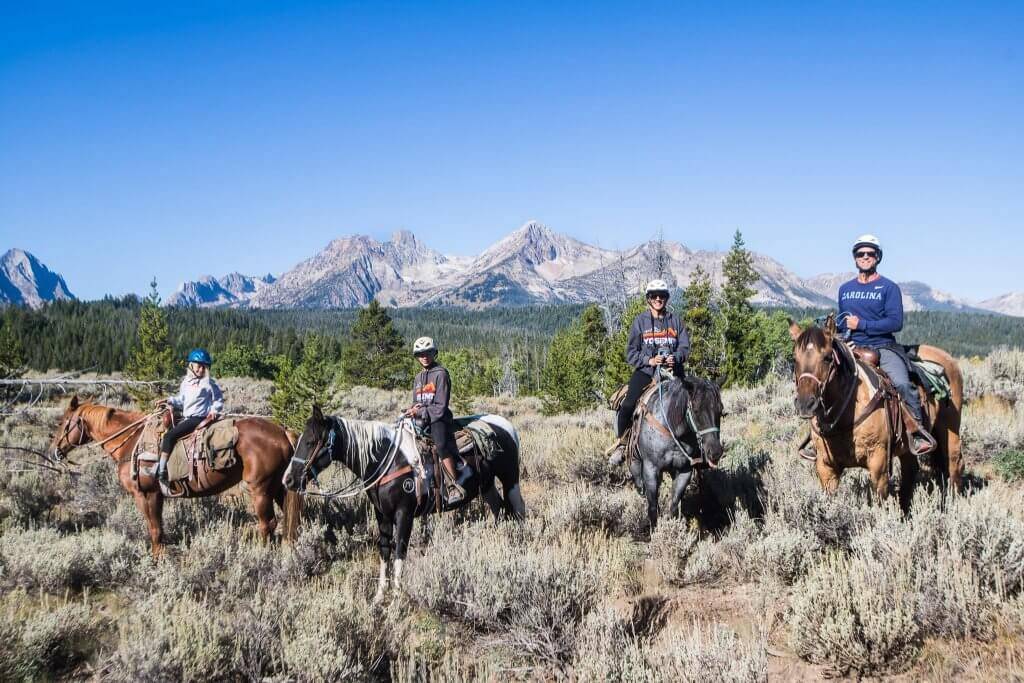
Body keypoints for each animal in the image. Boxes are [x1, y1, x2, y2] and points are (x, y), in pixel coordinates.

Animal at [49, 395, 299, 557]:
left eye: (63, 423)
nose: (54, 451)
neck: (131, 441)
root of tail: (282, 432)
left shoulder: (145, 494)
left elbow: (154, 529)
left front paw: (157, 559)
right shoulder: (157, 495)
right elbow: (159, 528)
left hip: (260, 490)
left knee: (267, 523)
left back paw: (260, 556)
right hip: (278, 488)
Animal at [282, 409, 528, 602]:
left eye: (311, 442)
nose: (288, 480)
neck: (386, 459)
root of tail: (505, 425)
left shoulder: (404, 513)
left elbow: (400, 549)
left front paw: (397, 595)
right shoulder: (382, 514)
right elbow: (384, 550)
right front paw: (380, 594)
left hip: (510, 479)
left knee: (518, 511)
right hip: (486, 486)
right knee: (499, 511)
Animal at [622, 376, 729, 532]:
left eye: (720, 410)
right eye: (696, 410)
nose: (715, 452)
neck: (672, 430)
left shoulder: (684, 471)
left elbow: (673, 505)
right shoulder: (650, 469)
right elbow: (652, 507)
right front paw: (654, 532)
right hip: (635, 463)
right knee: (640, 486)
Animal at [786, 315, 962, 507]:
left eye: (827, 358)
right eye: (794, 359)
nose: (805, 404)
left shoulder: (879, 464)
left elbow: (879, 503)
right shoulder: (826, 467)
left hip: (950, 429)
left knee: (954, 463)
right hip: (908, 447)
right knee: (910, 470)